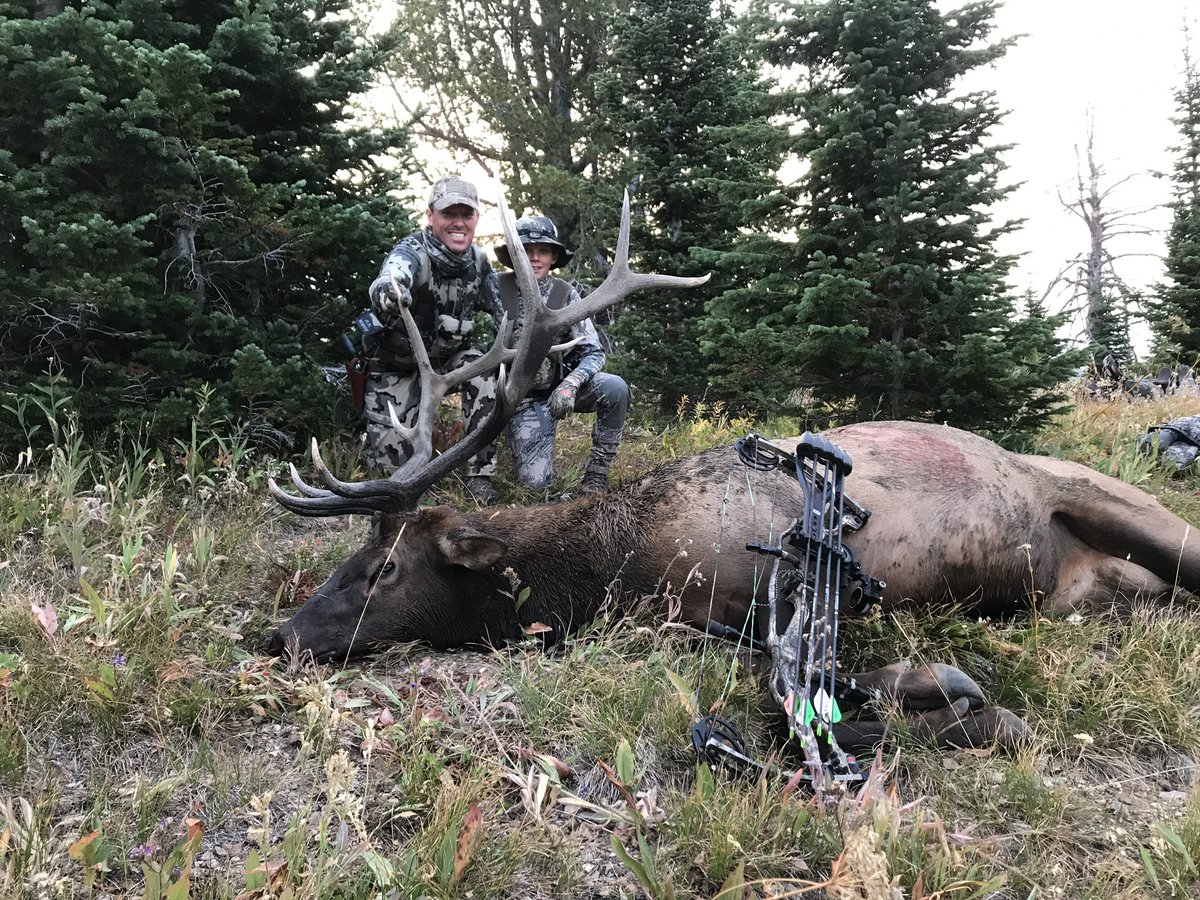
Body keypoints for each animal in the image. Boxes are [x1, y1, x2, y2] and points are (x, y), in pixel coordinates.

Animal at [267, 195, 1200, 756]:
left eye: (383, 567)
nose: (280, 636)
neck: (607, 567)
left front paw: (955, 697)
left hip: (1118, 505)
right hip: (1089, 594)